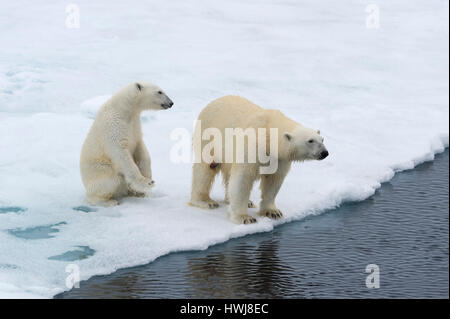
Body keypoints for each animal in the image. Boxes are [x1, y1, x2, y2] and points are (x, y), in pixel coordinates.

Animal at [188, 97, 328, 225]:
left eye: (322, 139)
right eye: (310, 140)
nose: (325, 153)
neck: (269, 133)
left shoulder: (280, 158)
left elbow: (273, 180)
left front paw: (273, 212)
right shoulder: (252, 147)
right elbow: (242, 179)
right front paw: (244, 218)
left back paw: (244, 202)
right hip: (208, 136)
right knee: (205, 169)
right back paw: (206, 201)